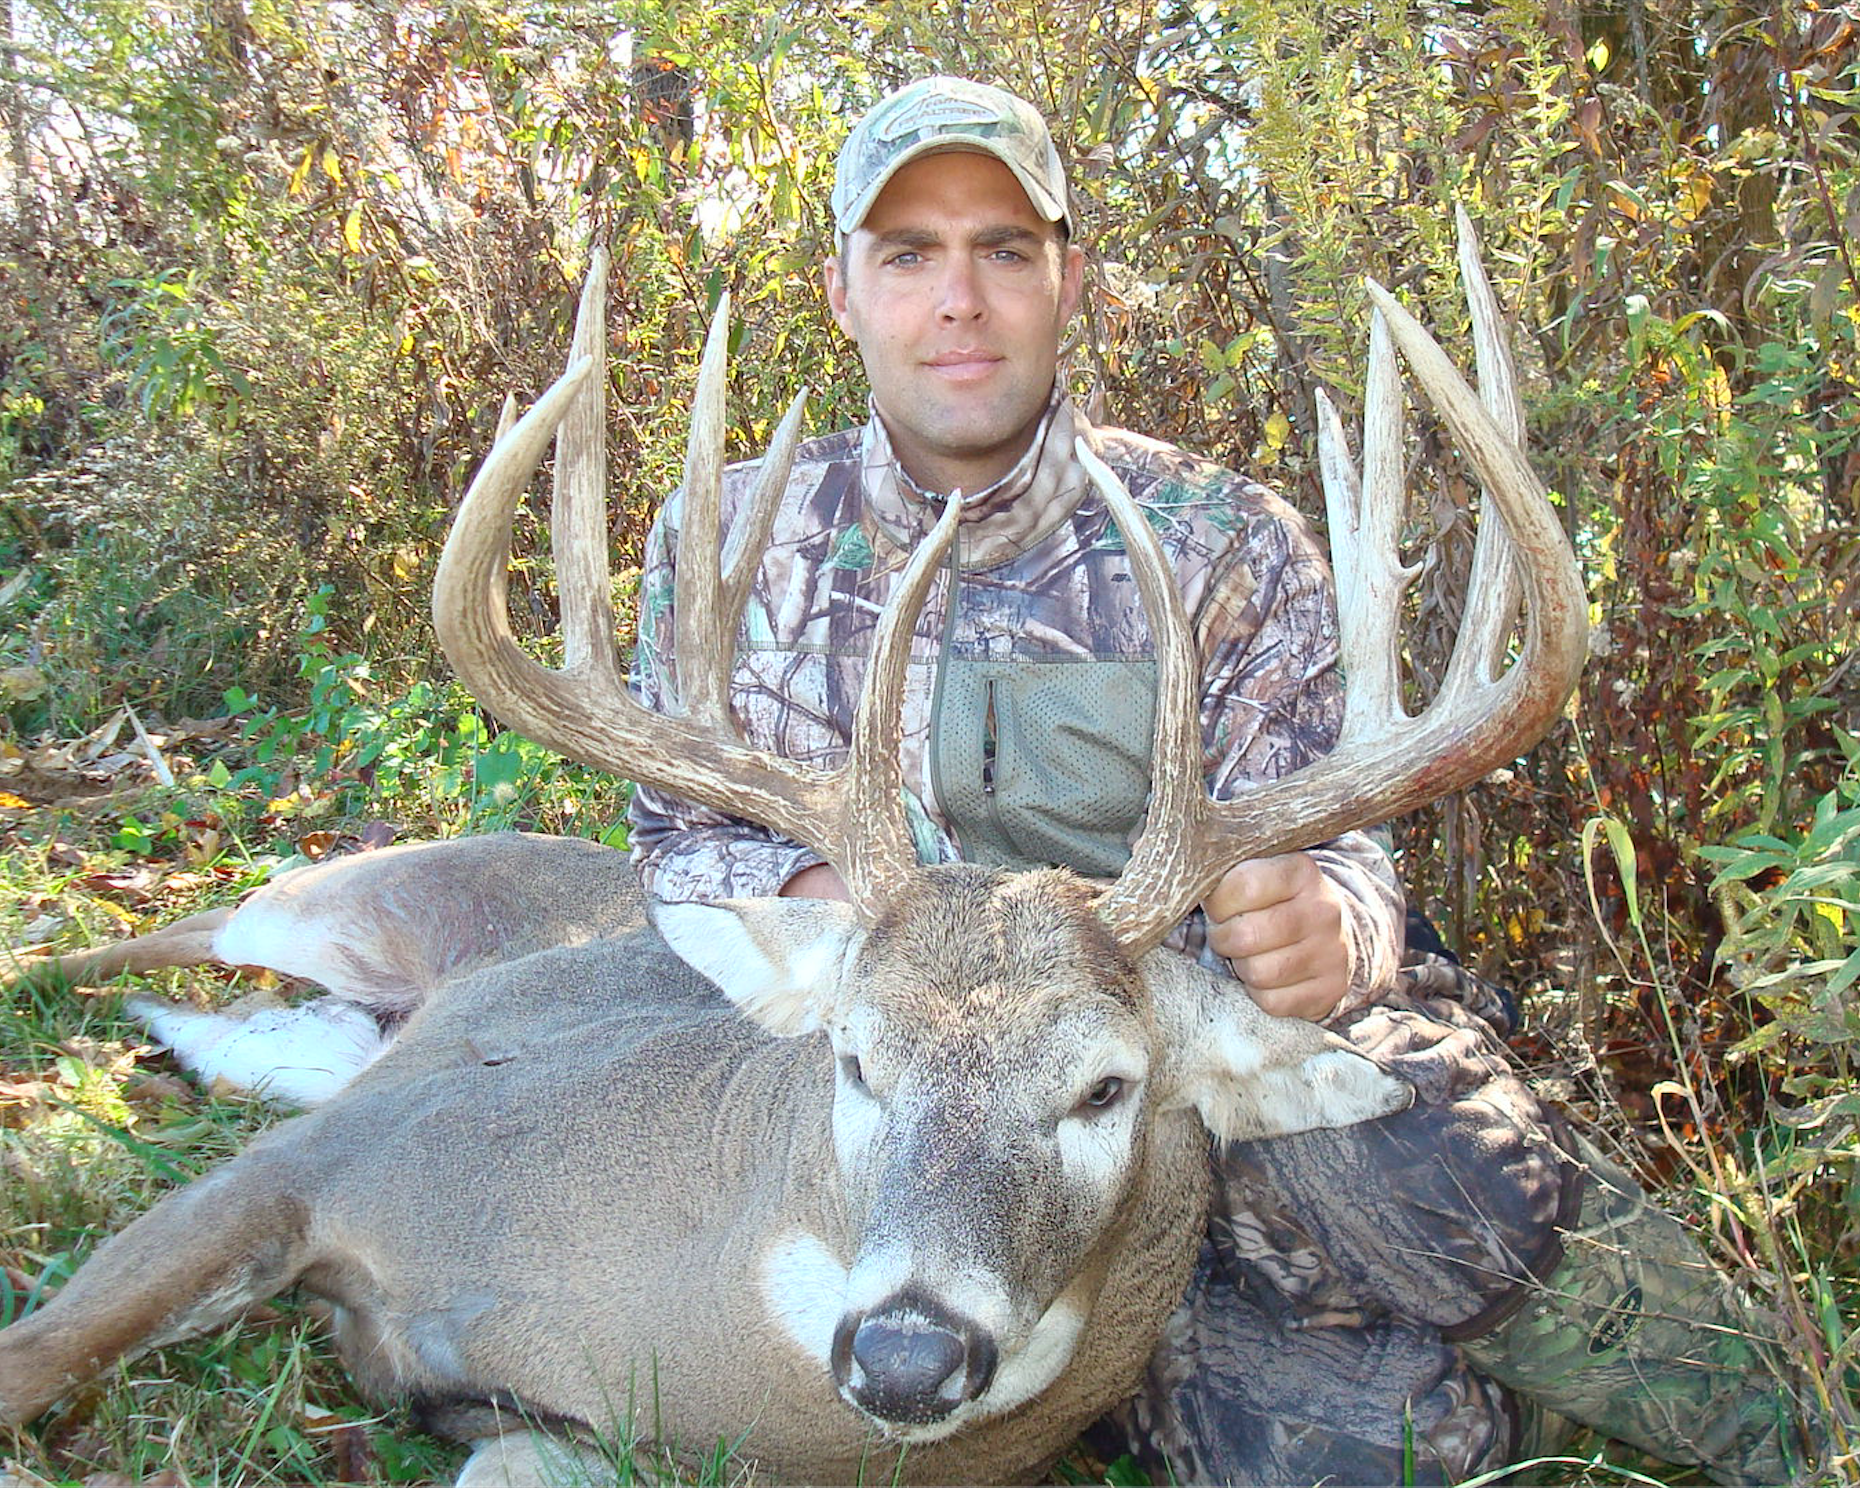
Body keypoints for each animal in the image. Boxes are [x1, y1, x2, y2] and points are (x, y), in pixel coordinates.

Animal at [0, 210, 1587, 1485]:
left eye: (1107, 1088)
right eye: (854, 1056)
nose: (906, 1354)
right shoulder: (337, 1151)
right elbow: (38, 1357)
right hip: (347, 897)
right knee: (162, 932)